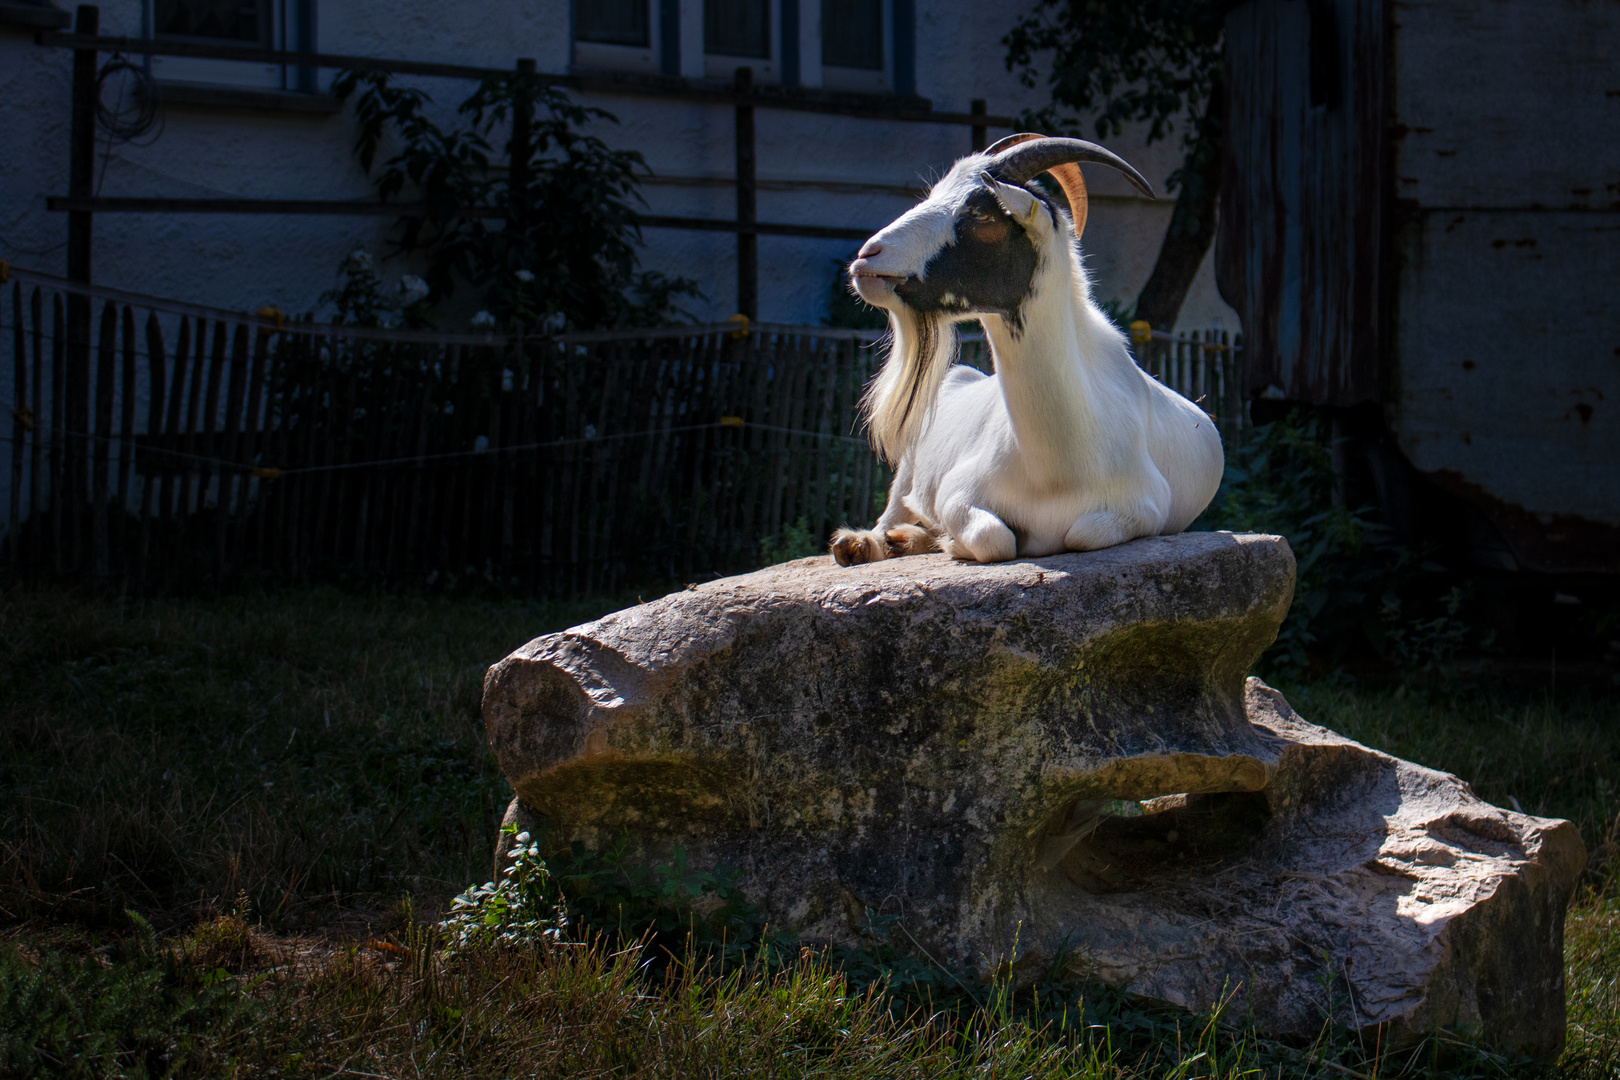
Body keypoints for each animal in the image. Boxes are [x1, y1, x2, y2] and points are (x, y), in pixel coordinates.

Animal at [829, 135, 1218, 566]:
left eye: (982, 215)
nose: (868, 255)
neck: (1057, 469)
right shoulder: (957, 491)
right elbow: (994, 537)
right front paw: (946, 540)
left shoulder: (1145, 508)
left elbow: (1083, 533)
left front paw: (938, 540)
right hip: (909, 468)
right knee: (892, 512)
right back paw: (863, 543)